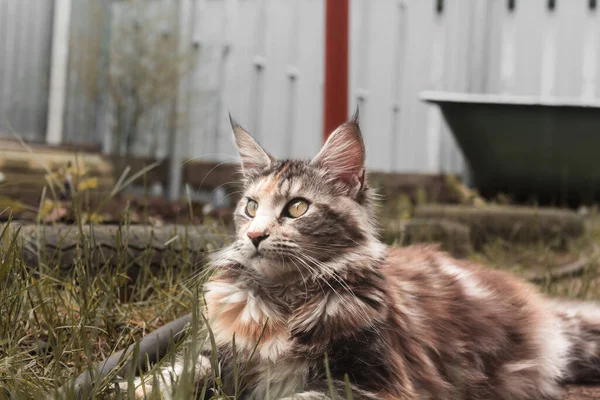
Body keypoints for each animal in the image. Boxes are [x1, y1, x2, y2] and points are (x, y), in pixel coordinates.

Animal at [129, 113, 600, 400]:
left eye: (296, 208)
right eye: (249, 206)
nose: (255, 235)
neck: (282, 304)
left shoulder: (372, 380)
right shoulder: (216, 352)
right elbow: (166, 375)